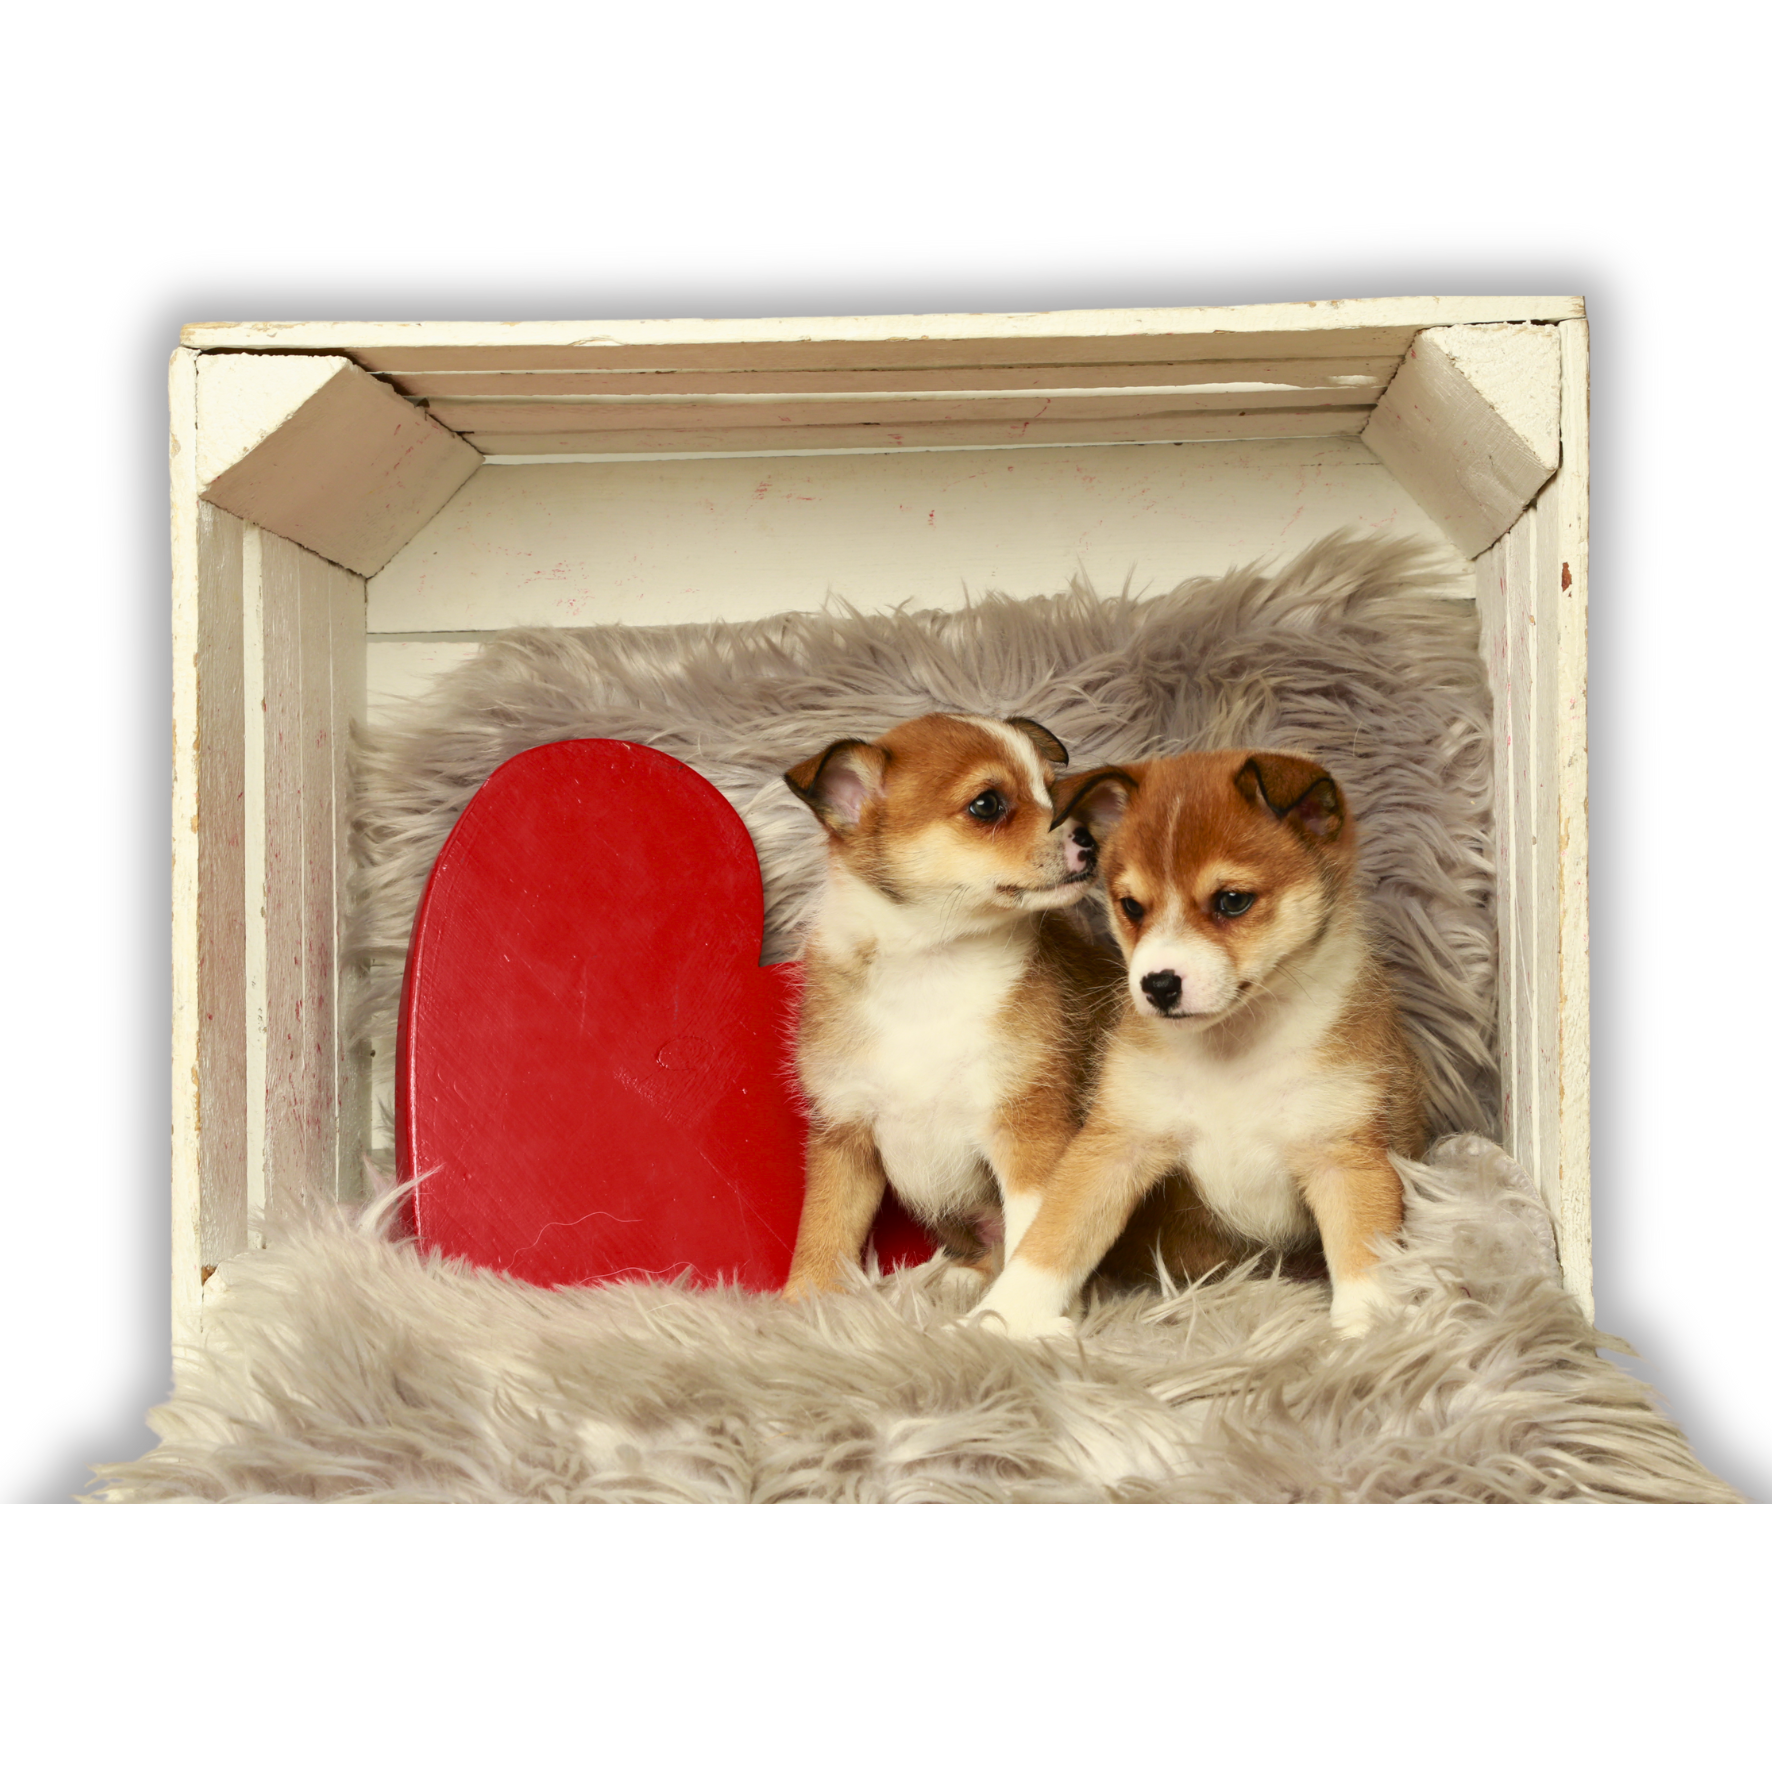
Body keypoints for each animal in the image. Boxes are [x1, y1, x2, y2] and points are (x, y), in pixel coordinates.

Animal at [779, 713, 1245, 1302]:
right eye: (987, 805)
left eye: (1052, 791)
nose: (1090, 839)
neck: (931, 965)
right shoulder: (843, 1134)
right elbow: (825, 1228)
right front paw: (805, 1304)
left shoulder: (1027, 1130)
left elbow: (1033, 1232)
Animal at [963, 749, 1427, 1341]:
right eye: (1132, 906)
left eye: (1232, 901)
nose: (1158, 985)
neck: (1232, 1046)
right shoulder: (1113, 1147)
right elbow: (1052, 1237)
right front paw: (1003, 1319)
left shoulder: (1345, 1159)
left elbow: (1366, 1258)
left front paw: (1370, 1331)